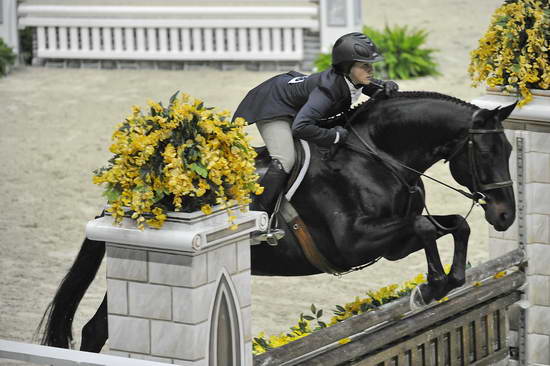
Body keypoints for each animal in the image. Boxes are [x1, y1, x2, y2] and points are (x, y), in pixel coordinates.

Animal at [37, 91, 516, 352]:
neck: (376, 156)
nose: (505, 215)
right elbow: (429, 228)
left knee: (96, 328)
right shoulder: (353, 243)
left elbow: (451, 226)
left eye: (509, 150)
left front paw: (441, 283)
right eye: (486, 152)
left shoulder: (393, 238)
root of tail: (129, 202)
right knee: (98, 328)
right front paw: (429, 288)